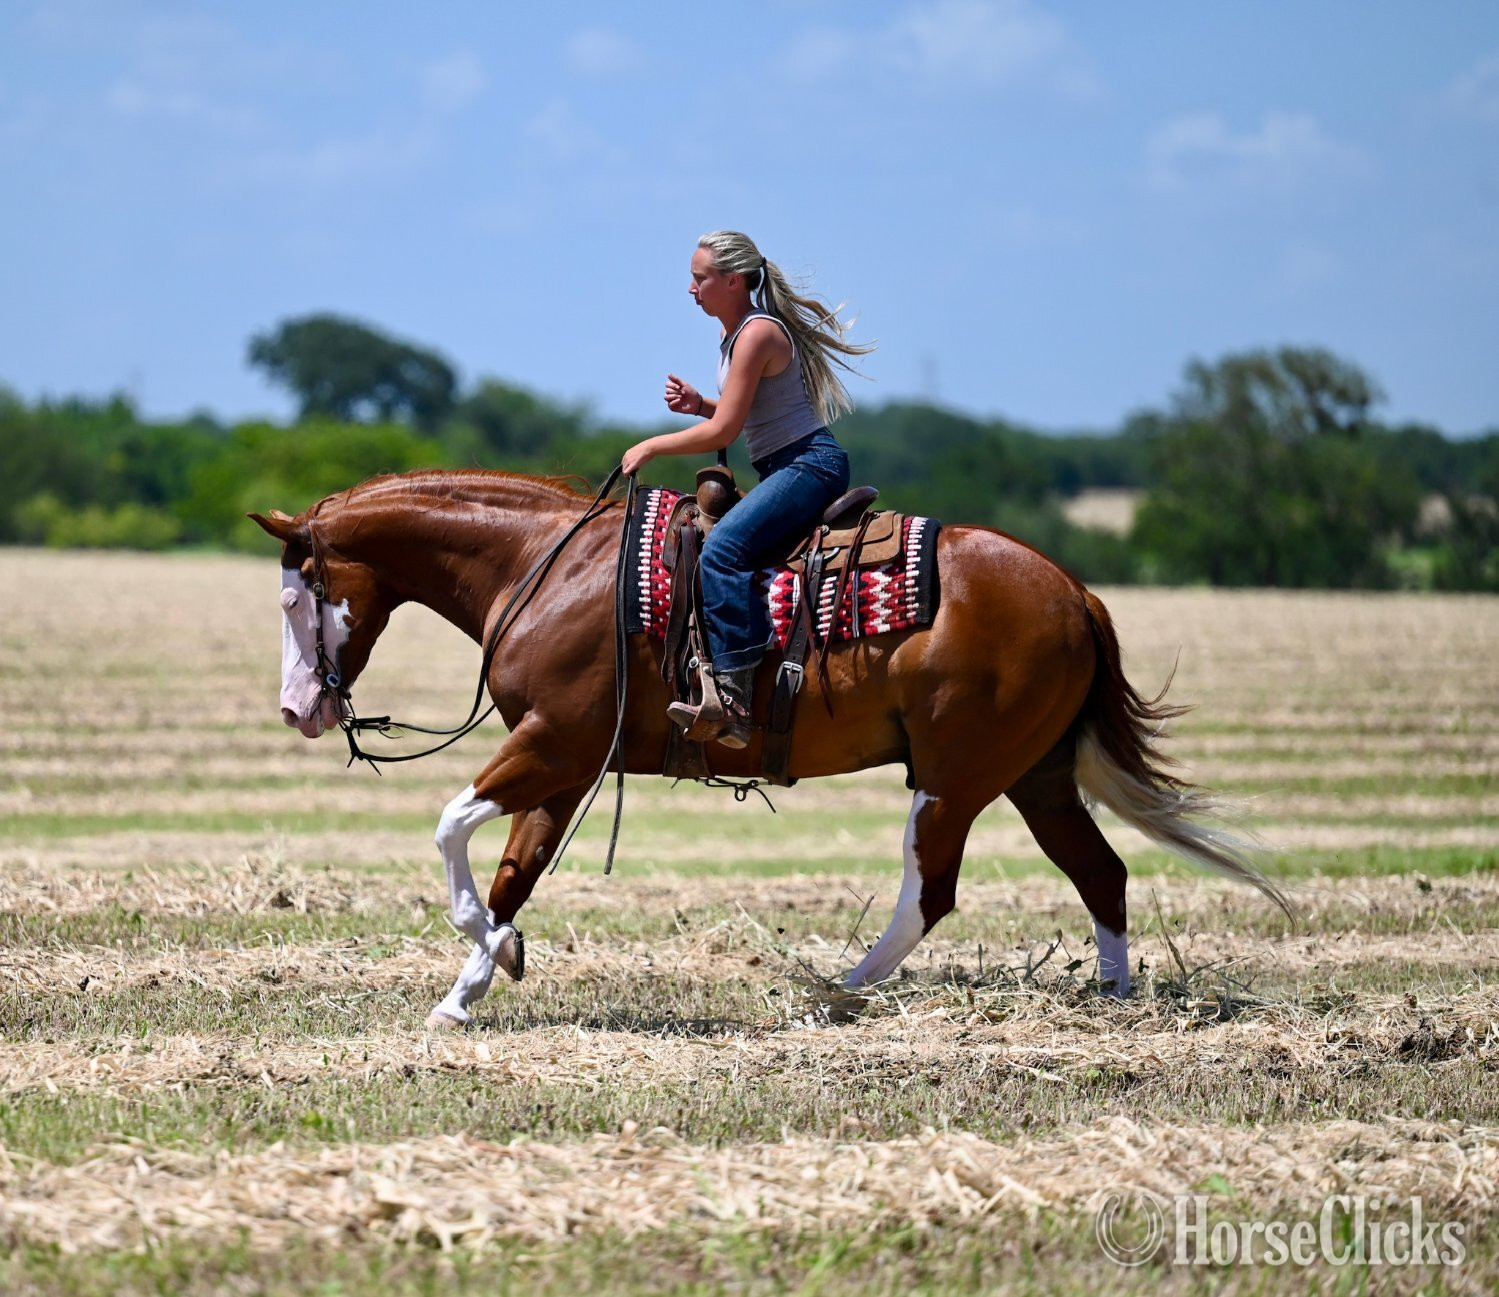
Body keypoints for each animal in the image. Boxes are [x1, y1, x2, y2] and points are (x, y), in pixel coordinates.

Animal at [251, 468, 1289, 1030]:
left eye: (296, 595)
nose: (299, 709)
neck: (544, 566)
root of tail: (1075, 591)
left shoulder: (553, 741)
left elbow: (452, 829)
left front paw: (486, 952)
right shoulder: (565, 760)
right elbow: (515, 869)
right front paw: (472, 985)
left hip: (954, 778)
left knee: (932, 891)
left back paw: (838, 990)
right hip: (1033, 775)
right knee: (1099, 871)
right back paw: (1112, 1001)